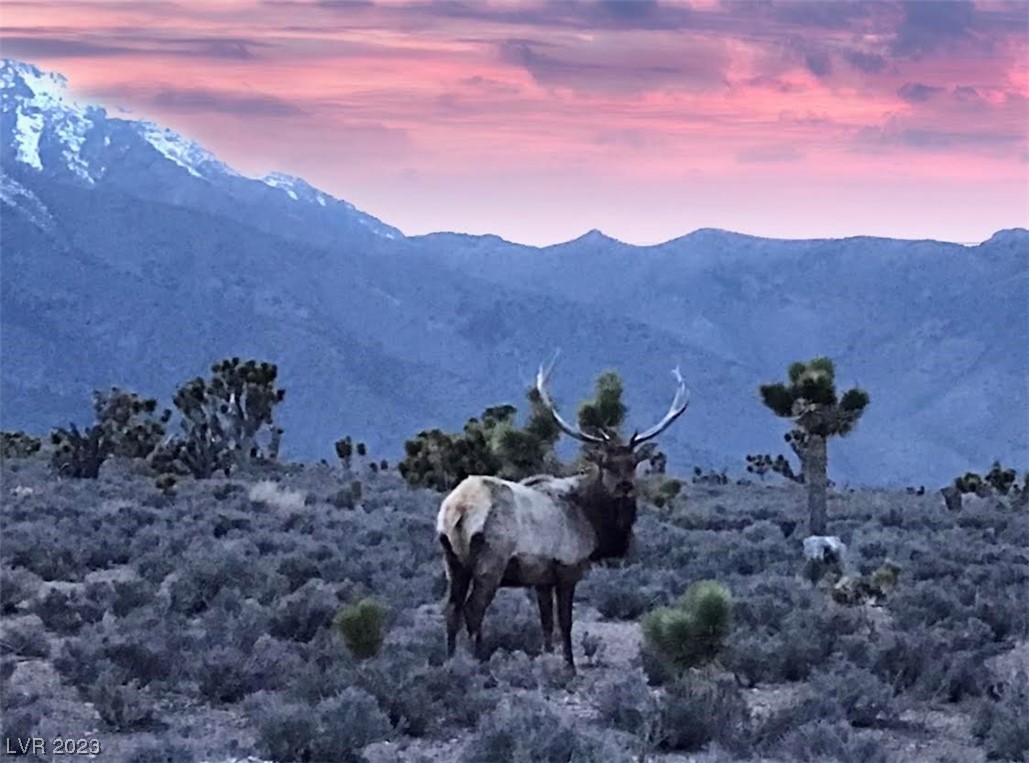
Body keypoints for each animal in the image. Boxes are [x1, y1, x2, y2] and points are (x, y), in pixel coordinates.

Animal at [436, 354, 691, 671]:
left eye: (632, 462)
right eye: (606, 463)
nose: (625, 487)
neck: (593, 522)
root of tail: (458, 509)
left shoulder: (542, 579)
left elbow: (546, 625)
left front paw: (548, 661)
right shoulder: (568, 568)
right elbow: (566, 623)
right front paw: (570, 667)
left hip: (452, 560)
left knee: (451, 609)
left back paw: (449, 661)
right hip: (490, 561)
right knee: (473, 610)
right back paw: (479, 665)